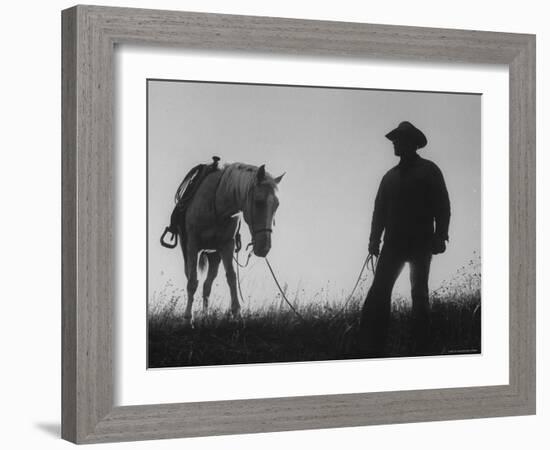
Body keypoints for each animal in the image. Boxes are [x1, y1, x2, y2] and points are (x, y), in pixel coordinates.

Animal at [164, 162, 284, 326]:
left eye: (276, 205)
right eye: (258, 202)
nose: (264, 248)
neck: (217, 203)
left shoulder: (227, 245)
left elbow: (232, 277)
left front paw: (237, 314)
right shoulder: (193, 245)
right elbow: (192, 282)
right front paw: (188, 319)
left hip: (214, 255)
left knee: (207, 285)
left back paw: (206, 316)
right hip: (188, 250)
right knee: (192, 278)